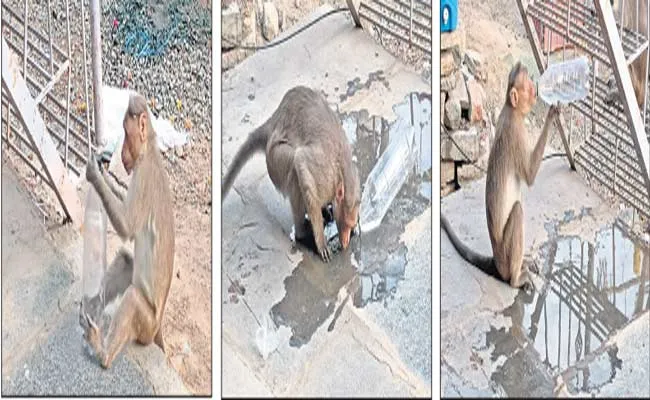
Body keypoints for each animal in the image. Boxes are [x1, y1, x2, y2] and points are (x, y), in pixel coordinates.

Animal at [81, 93, 175, 368]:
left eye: (125, 131)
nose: (120, 151)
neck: (149, 151)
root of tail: (157, 329)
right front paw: (105, 174)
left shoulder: (142, 177)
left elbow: (127, 226)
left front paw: (95, 175)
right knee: (126, 260)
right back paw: (93, 304)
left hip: (146, 325)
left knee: (133, 297)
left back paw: (103, 354)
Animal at [223, 85, 360, 260]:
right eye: (345, 224)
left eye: (350, 225)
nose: (345, 242)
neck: (340, 173)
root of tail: (273, 121)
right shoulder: (324, 174)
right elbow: (301, 160)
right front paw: (321, 242)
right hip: (274, 160)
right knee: (294, 168)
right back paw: (302, 233)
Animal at [440, 62, 556, 290]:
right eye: (529, 85)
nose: (536, 89)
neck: (512, 110)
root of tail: (497, 261)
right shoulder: (517, 133)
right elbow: (529, 176)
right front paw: (552, 113)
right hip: (506, 254)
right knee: (518, 211)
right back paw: (516, 279)